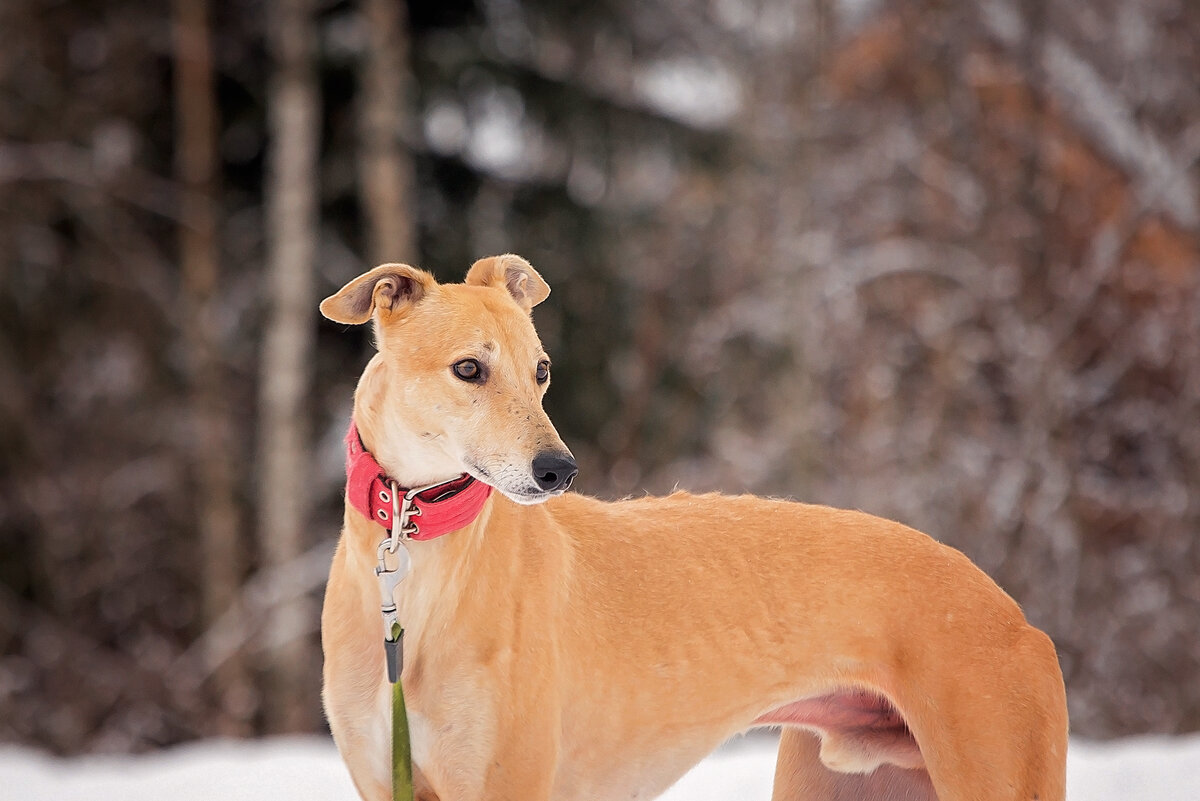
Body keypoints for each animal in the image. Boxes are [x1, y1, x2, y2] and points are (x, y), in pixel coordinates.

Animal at [319, 256, 1070, 801]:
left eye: (541, 370)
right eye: (469, 368)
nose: (559, 470)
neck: (418, 566)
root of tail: (1014, 613)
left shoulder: (507, 783)